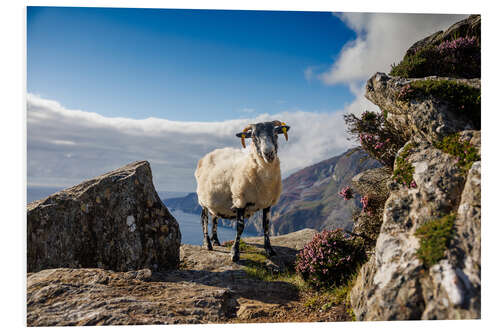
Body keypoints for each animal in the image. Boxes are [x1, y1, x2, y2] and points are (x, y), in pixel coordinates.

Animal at [194, 120, 290, 260]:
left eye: (276, 133)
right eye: (253, 136)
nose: (269, 153)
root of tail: (209, 154)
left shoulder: (268, 204)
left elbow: (266, 226)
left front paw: (269, 249)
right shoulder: (240, 200)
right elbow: (240, 227)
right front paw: (235, 252)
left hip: (215, 201)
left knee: (214, 218)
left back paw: (215, 241)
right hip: (203, 200)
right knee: (204, 220)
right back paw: (208, 244)